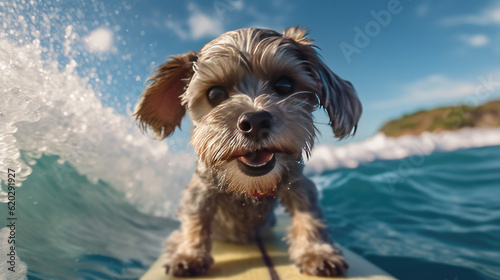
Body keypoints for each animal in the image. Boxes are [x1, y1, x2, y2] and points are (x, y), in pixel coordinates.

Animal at [135, 26, 362, 278]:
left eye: (285, 85)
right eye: (214, 94)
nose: (255, 121)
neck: (249, 189)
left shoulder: (297, 180)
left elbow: (307, 212)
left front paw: (316, 251)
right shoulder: (201, 187)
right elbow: (195, 217)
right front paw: (188, 253)